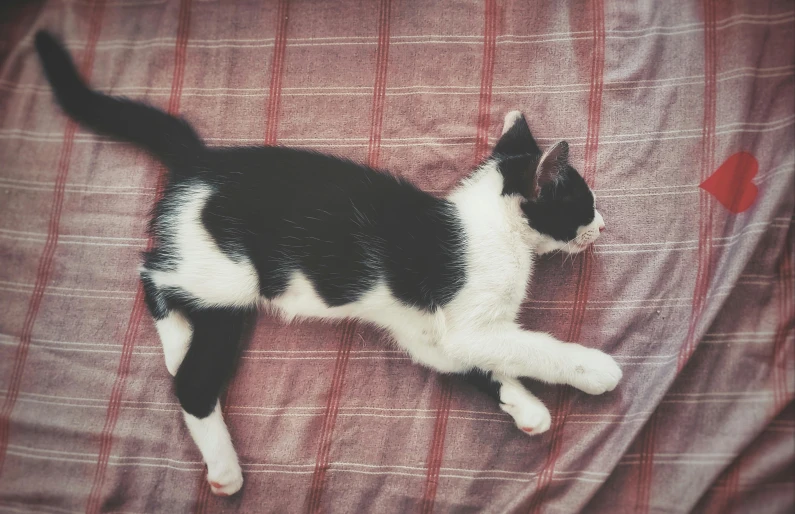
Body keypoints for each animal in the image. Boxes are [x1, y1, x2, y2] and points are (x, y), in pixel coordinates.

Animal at [37, 31, 620, 492]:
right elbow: (530, 347)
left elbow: (479, 362)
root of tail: (201, 161)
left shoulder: (430, 336)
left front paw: (525, 406)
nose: (603, 224)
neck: (493, 228)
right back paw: (222, 463)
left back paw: (178, 343)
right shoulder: (467, 321)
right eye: (583, 202)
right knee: (172, 326)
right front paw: (594, 370)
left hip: (214, 280)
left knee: (161, 289)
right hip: (229, 277)